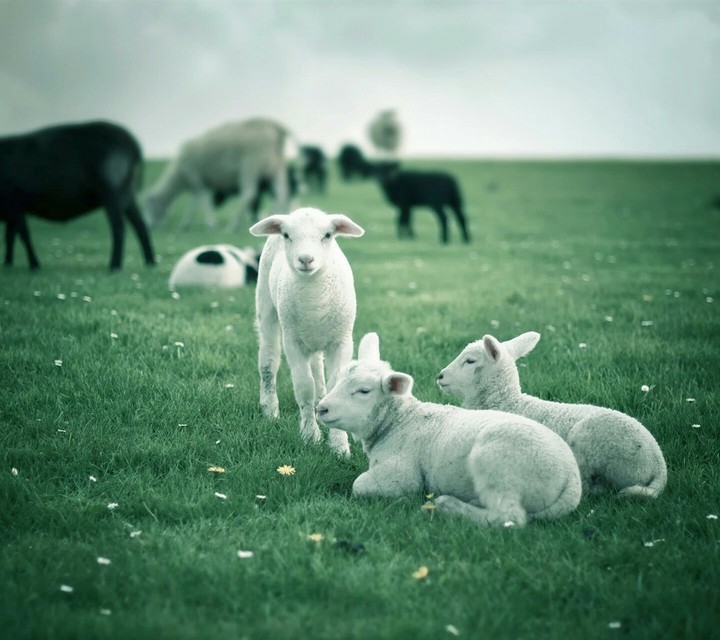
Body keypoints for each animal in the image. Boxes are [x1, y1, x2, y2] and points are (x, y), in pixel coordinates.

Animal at [0, 120, 155, 270]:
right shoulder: (12, 210)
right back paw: (150, 263)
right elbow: (10, 236)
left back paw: (114, 266)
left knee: (118, 227)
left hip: (112, 191)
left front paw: (34, 266)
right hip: (126, 192)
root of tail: (133, 145)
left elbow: (23, 235)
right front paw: (8, 263)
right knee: (139, 224)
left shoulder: (14, 204)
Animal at [144, 118, 292, 231]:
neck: (178, 176)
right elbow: (193, 202)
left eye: (150, 205)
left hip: (250, 167)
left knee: (249, 194)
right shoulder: (197, 182)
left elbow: (202, 200)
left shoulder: (196, 179)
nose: (149, 225)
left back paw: (232, 225)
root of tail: (276, 129)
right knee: (281, 193)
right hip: (275, 169)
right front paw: (185, 223)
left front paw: (211, 223)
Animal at [249, 207, 365, 457]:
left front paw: (339, 446)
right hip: (267, 309)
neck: (314, 293)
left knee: (318, 371)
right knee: (268, 361)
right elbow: (304, 389)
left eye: (328, 235)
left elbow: (334, 385)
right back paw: (270, 410)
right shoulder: (294, 343)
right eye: (286, 235)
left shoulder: (341, 341)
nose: (305, 259)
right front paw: (310, 436)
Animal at [316, 332, 581, 527]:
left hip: (499, 465)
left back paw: (448, 506)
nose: (321, 409)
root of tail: (572, 479)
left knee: (509, 518)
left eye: (364, 391)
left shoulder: (400, 473)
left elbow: (359, 485)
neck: (399, 422)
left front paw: (404, 500)